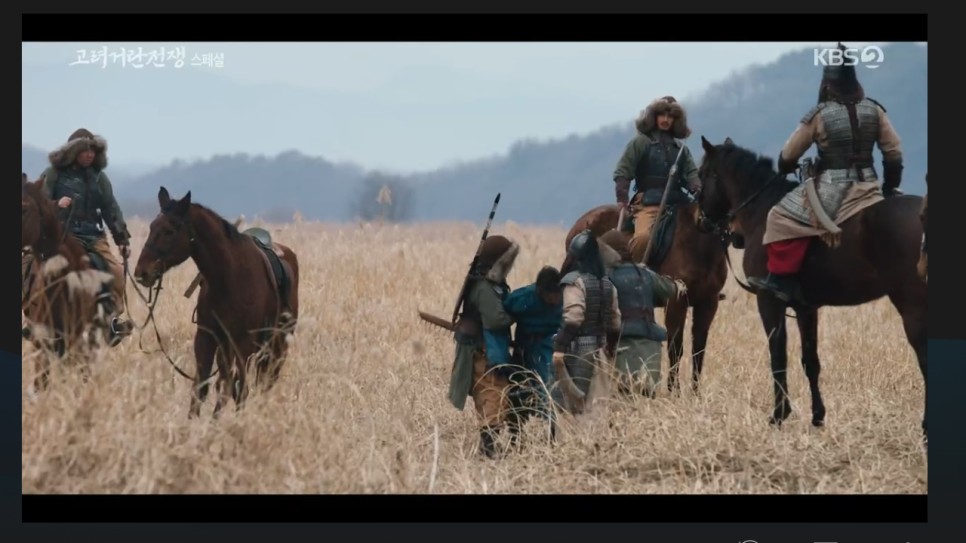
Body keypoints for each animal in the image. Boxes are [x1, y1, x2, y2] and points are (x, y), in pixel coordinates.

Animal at [132, 188, 298, 420]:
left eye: (169, 231)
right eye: (151, 227)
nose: (142, 272)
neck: (228, 276)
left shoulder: (243, 342)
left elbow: (239, 388)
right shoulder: (206, 337)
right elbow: (201, 386)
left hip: (277, 346)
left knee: (262, 382)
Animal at [564, 196, 728, 396]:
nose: (704, 220)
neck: (700, 241)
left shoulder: (709, 303)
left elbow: (698, 349)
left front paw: (695, 394)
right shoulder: (676, 303)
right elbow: (675, 347)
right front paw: (674, 392)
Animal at [696, 137, 932, 442]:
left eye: (703, 174)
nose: (701, 220)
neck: (761, 211)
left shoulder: (769, 302)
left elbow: (778, 356)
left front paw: (778, 415)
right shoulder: (806, 309)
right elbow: (810, 361)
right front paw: (818, 416)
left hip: (912, 306)